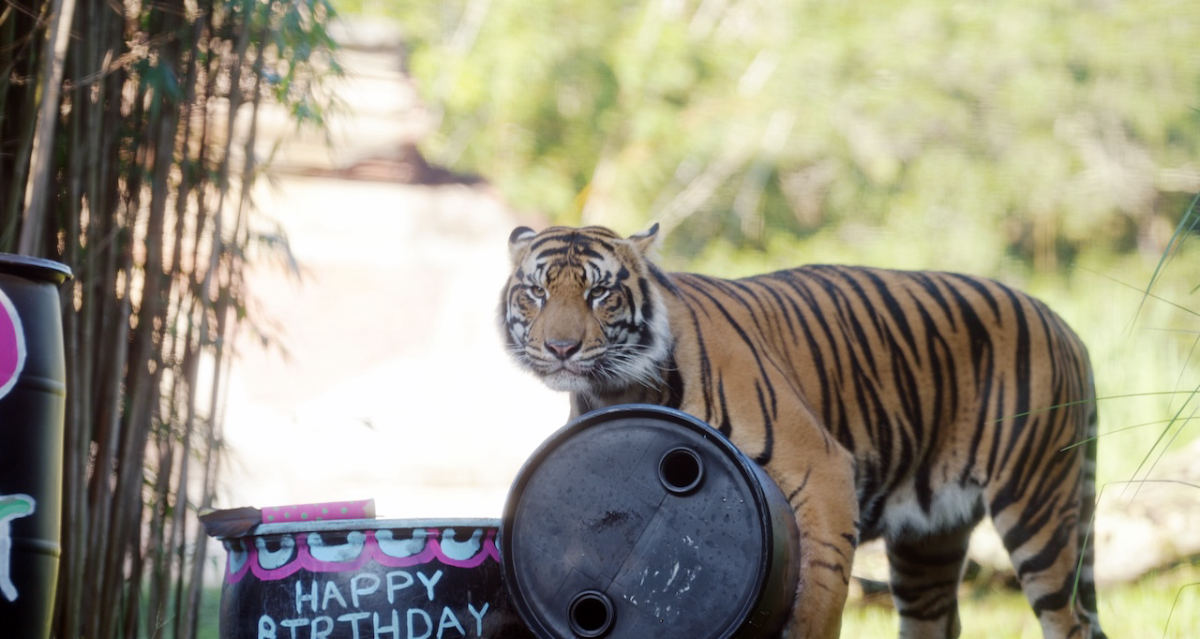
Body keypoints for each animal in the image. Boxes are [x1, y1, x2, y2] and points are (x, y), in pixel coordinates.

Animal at [500, 224, 1104, 639]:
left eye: (600, 294)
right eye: (536, 292)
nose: (560, 348)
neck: (618, 389)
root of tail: (1064, 324)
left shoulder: (823, 470)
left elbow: (820, 590)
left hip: (1036, 506)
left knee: (1069, 620)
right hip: (928, 541)